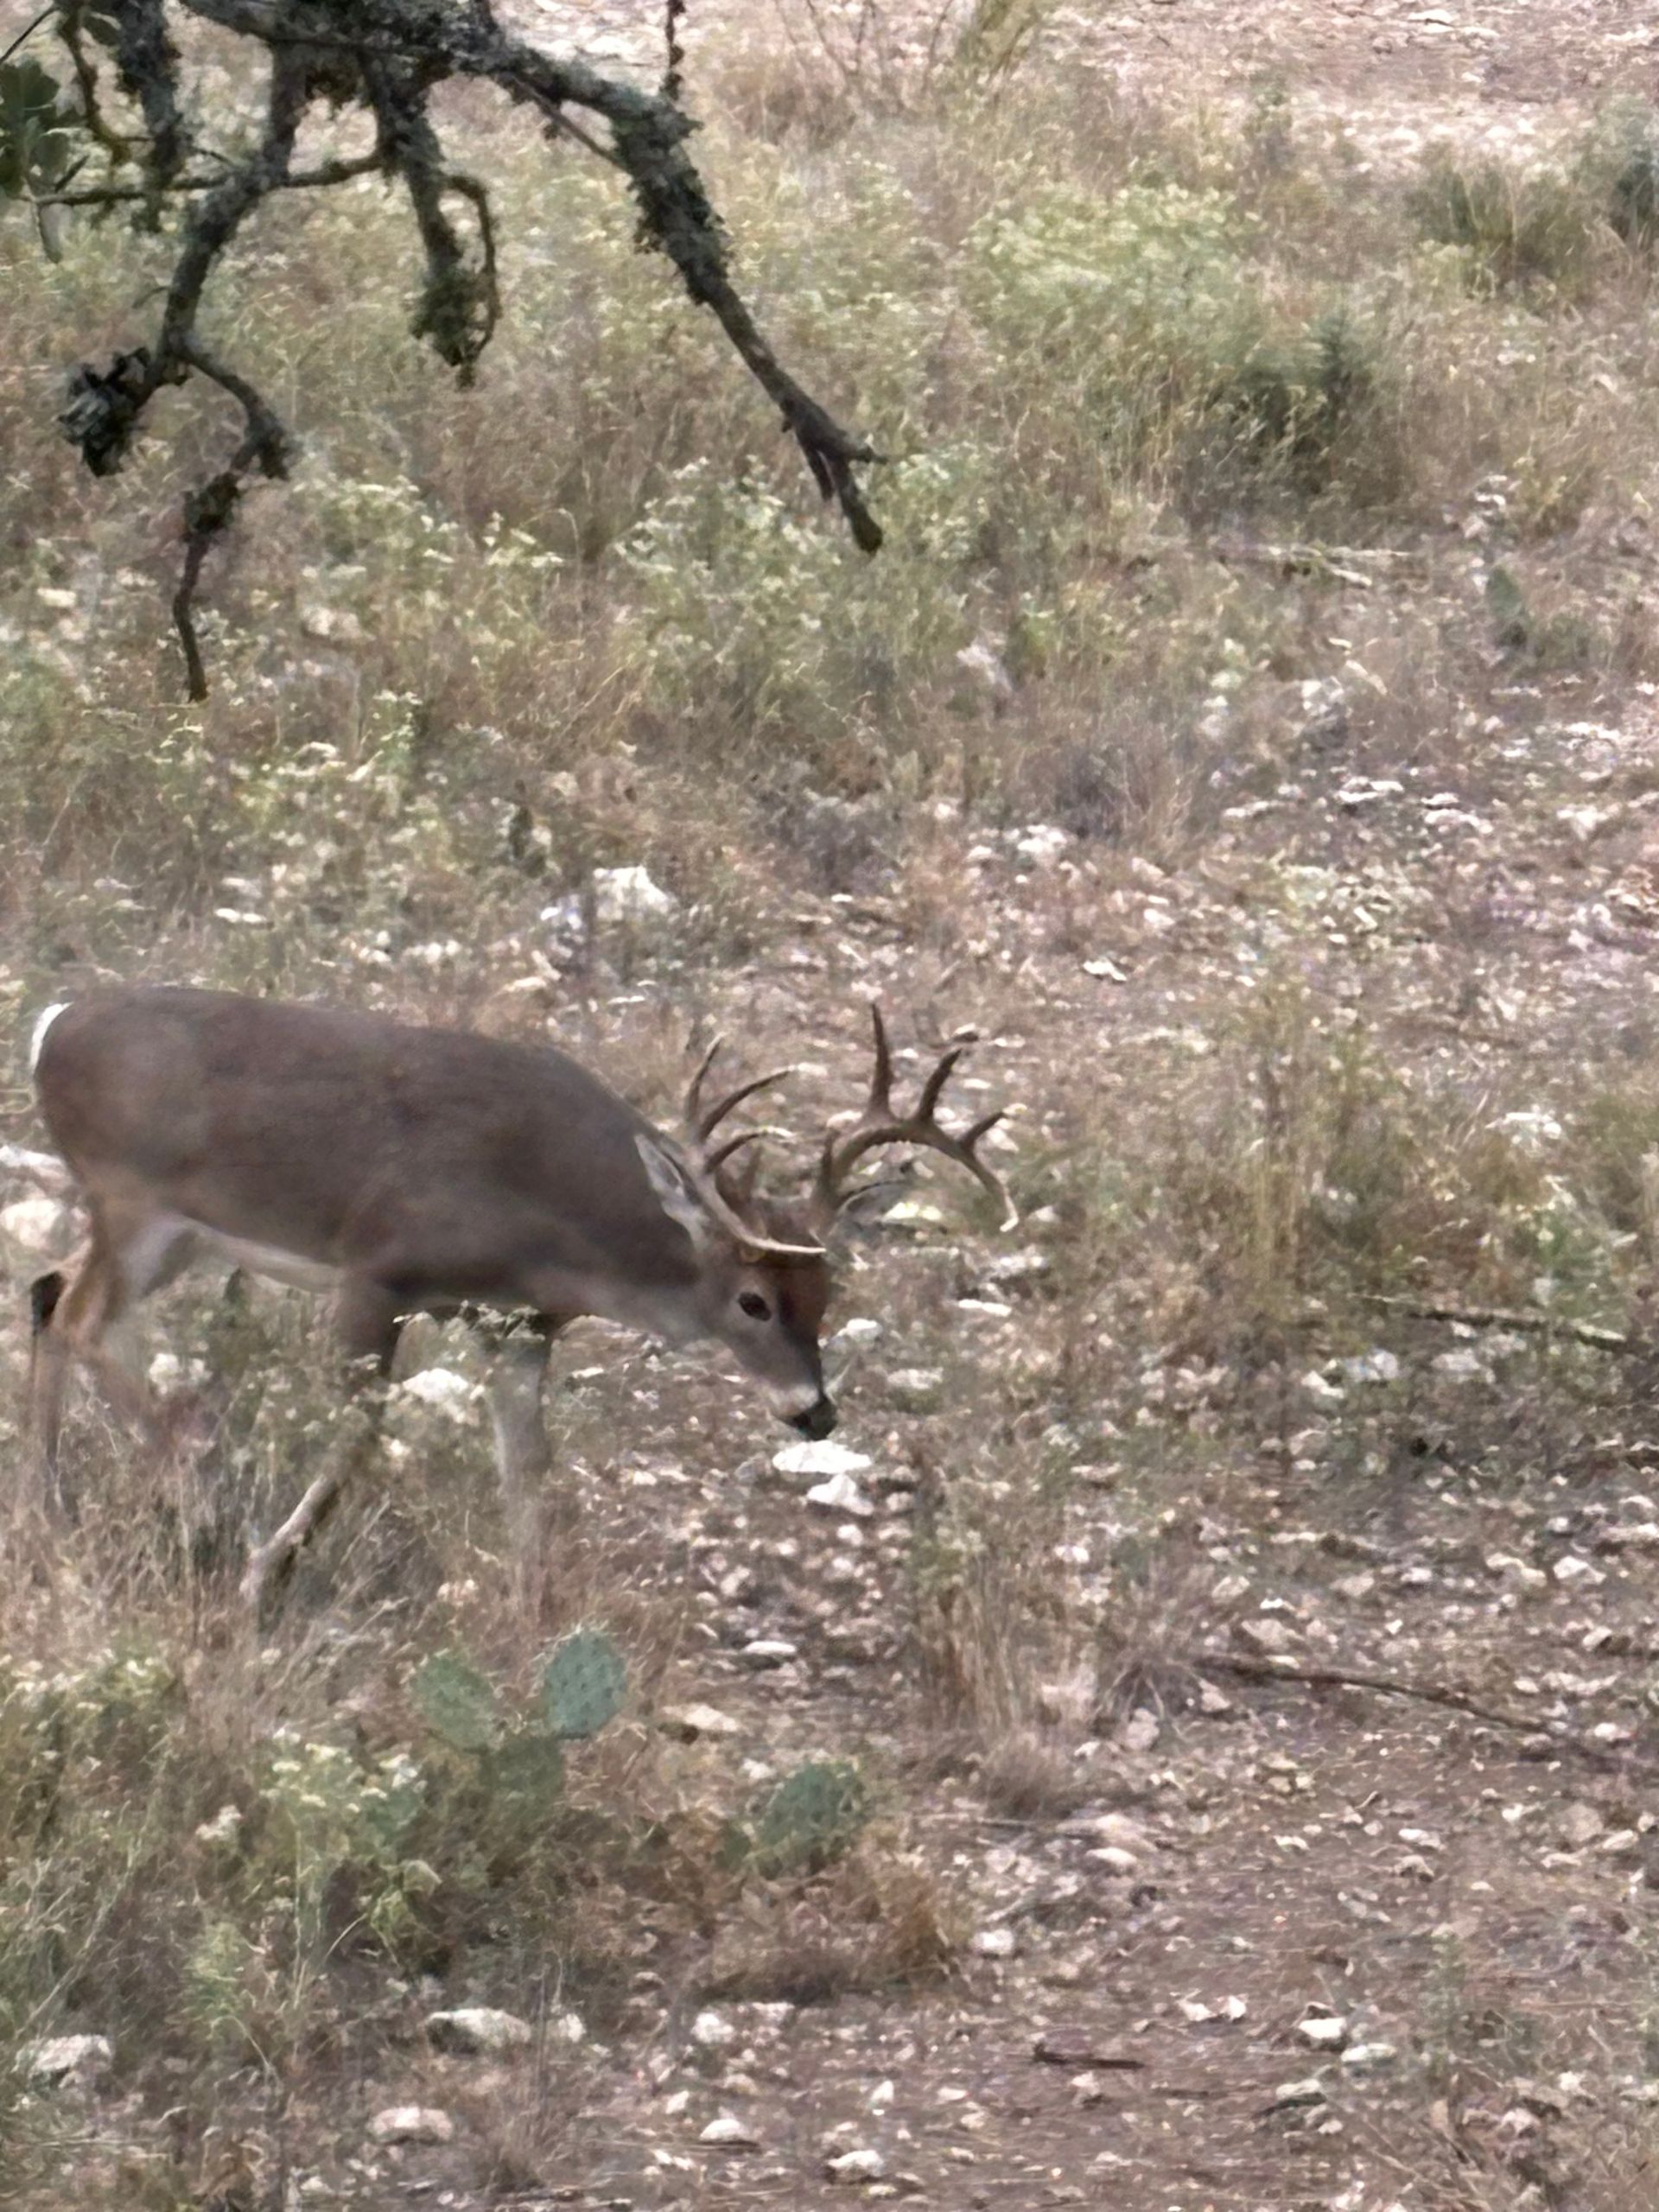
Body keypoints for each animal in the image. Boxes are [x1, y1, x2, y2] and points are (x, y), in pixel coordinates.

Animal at [21, 986, 1016, 1602]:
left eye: (827, 1289)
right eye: (753, 1302)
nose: (816, 1412)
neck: (559, 1230)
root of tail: (49, 1027)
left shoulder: (522, 1324)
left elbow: (528, 1463)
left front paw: (535, 1610)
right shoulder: (378, 1266)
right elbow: (357, 1436)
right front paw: (265, 1569)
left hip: (174, 1233)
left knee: (48, 1290)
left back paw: (54, 1507)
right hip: (135, 1198)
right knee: (77, 1317)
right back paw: (190, 1489)